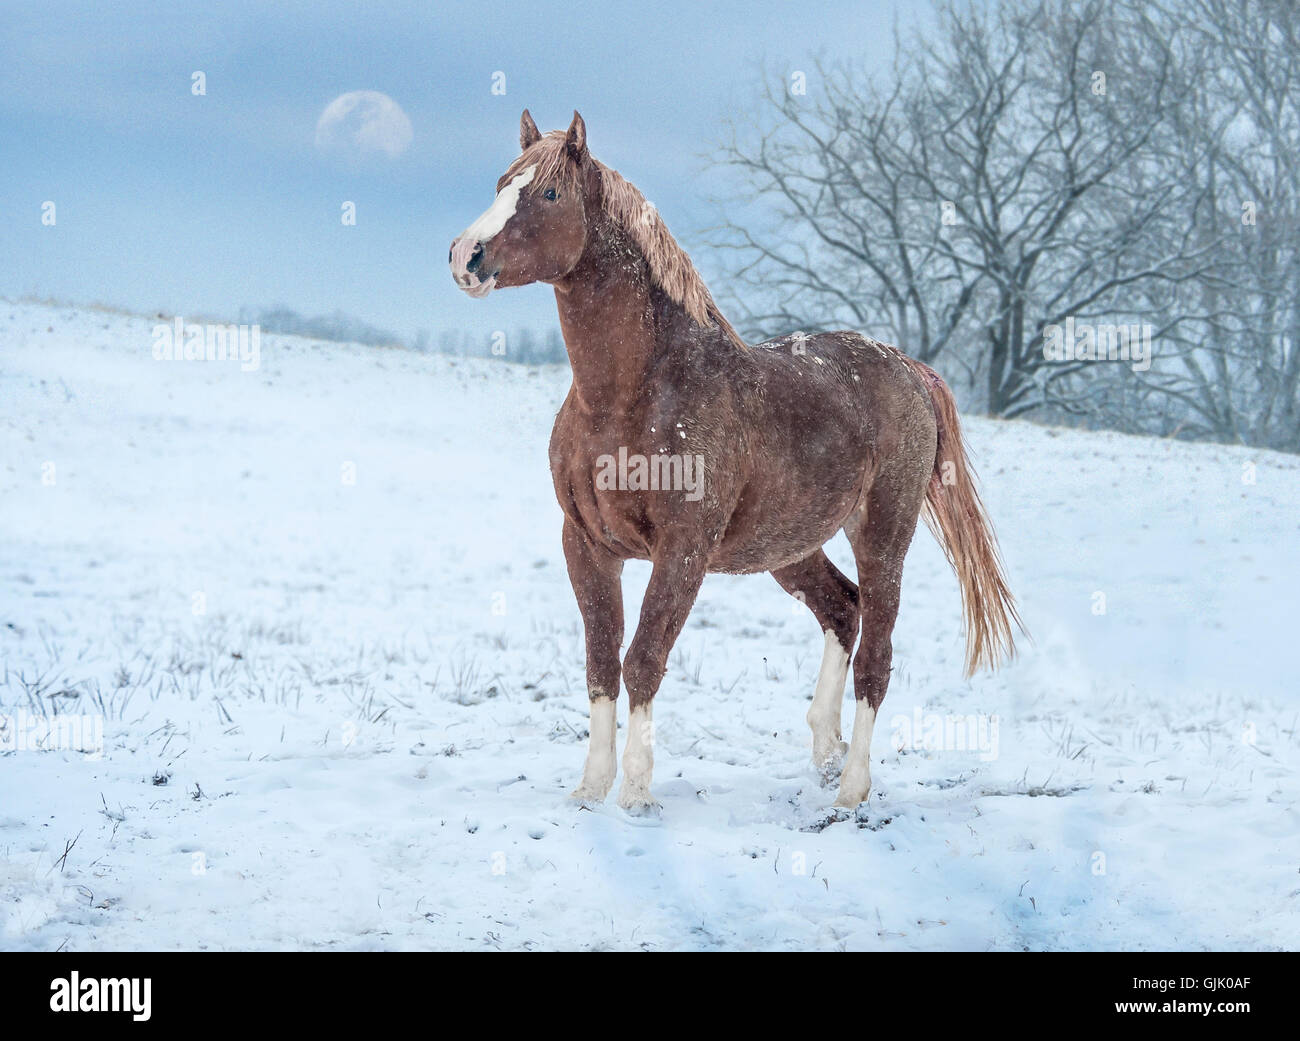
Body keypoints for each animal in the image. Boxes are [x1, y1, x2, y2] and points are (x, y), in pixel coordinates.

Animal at [452, 109, 1019, 816]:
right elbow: (600, 660)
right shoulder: (585, 544)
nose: (465, 257)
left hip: (884, 535)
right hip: (788, 545)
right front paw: (589, 788)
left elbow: (643, 658)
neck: (632, 394)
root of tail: (907, 369)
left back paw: (852, 787)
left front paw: (635, 794)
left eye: (550, 193)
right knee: (843, 608)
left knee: (877, 653)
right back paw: (824, 750)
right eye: (503, 183)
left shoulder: (683, 550)